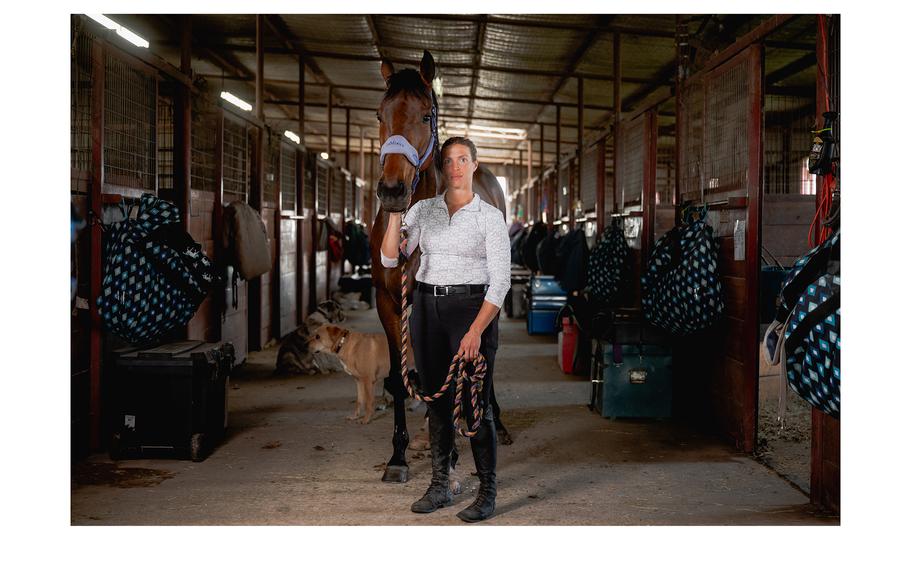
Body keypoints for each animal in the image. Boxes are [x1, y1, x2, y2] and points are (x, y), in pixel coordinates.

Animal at [370, 50, 512, 484]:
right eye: (380, 114)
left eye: (425, 116)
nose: (393, 192)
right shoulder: (389, 303)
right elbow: (401, 379)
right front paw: (398, 457)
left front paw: (447, 455)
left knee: (487, 357)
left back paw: (493, 420)